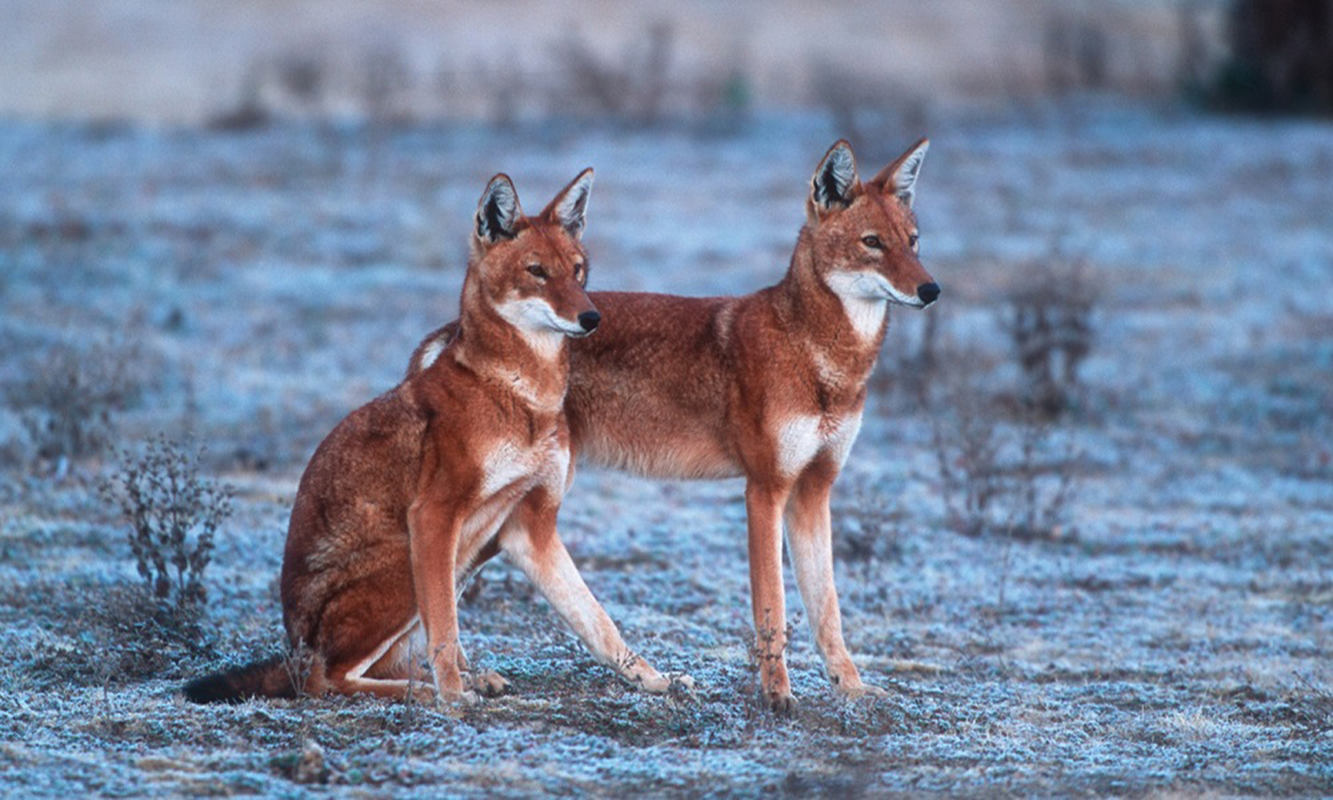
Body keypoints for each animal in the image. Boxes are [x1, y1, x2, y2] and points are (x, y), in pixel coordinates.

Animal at [185, 167, 687, 698]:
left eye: (577, 271)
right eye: (536, 272)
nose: (591, 318)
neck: (522, 394)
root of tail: (291, 652)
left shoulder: (531, 525)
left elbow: (598, 622)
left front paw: (656, 679)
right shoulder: (433, 517)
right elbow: (445, 629)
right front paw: (453, 699)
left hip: (466, 555)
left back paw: (474, 678)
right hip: (409, 568)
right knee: (330, 679)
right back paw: (429, 691)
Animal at [410, 139, 943, 714]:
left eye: (913, 242)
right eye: (873, 243)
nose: (931, 289)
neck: (823, 360)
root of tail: (451, 333)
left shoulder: (814, 490)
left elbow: (828, 611)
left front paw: (852, 687)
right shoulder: (765, 490)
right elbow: (773, 608)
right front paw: (777, 694)